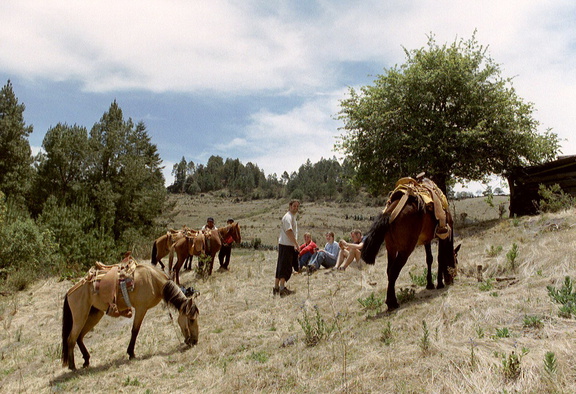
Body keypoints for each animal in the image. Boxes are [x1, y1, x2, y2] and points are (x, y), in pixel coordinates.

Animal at [61, 262, 199, 370]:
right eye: (191, 320)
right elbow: (135, 330)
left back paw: (86, 360)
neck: (153, 280)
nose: (195, 341)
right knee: (71, 338)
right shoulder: (141, 308)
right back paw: (72, 366)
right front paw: (131, 353)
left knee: (79, 337)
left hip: (94, 315)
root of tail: (70, 292)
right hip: (80, 317)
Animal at [364, 179, 460, 310]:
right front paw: (440, 283)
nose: (452, 278)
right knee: (394, 271)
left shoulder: (427, 240)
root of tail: (390, 212)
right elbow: (440, 258)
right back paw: (392, 302)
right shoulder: (443, 236)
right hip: (405, 250)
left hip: (391, 248)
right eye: (456, 260)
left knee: (389, 270)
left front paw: (430, 284)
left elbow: (429, 259)